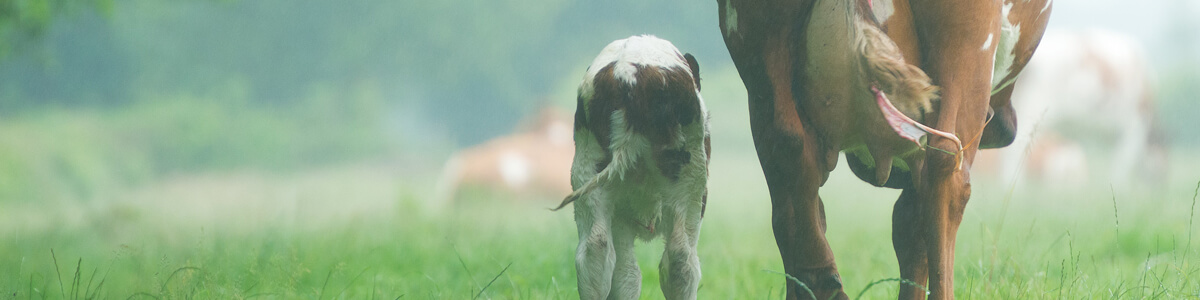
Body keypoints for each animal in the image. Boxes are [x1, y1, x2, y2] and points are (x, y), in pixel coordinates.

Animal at [554, 35, 710, 300]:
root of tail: (628, 75)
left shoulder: (620, 218)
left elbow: (626, 276)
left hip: (588, 172)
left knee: (596, 252)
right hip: (690, 183)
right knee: (681, 259)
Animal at [720, 0, 1051, 300]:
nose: (1005, 125)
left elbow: (906, 225)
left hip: (761, 59)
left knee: (788, 161)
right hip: (966, 47)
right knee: (946, 169)